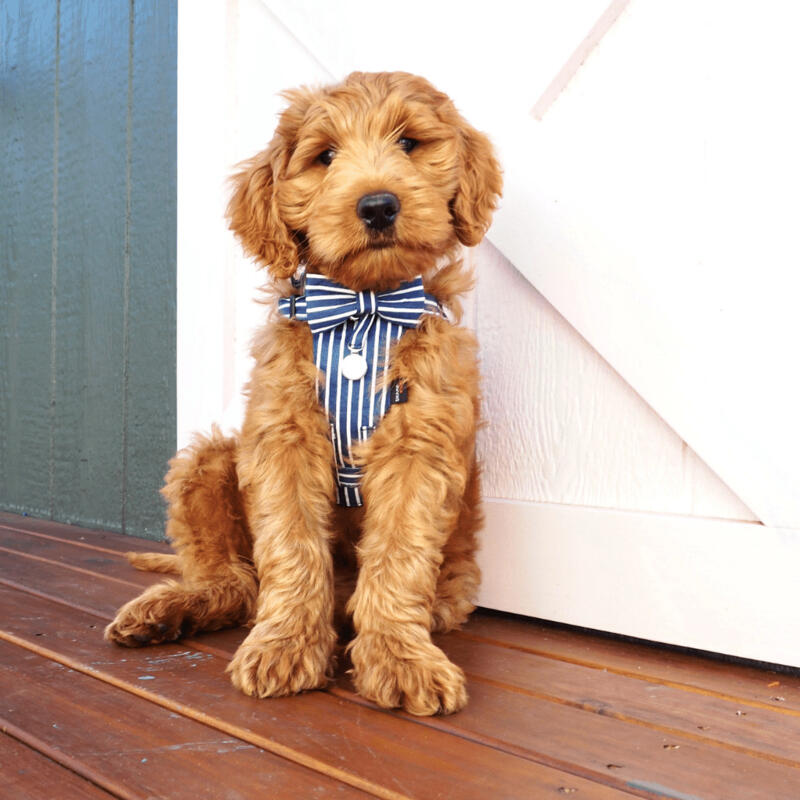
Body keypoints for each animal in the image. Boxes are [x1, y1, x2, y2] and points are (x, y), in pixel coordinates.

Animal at [106, 72, 500, 716]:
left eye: (409, 143)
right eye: (325, 157)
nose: (378, 205)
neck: (362, 308)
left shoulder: (417, 444)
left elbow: (400, 555)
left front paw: (400, 658)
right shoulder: (281, 435)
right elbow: (291, 546)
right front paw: (285, 646)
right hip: (206, 462)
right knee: (234, 584)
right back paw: (169, 608)